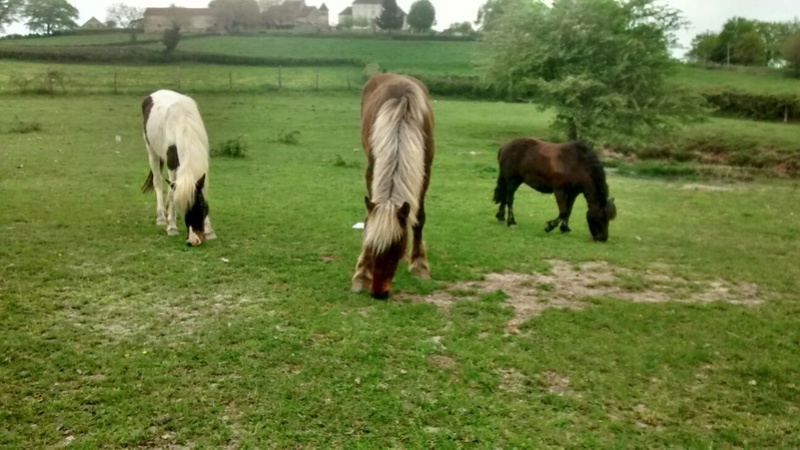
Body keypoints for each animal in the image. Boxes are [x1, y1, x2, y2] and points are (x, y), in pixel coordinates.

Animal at [140, 89, 216, 248]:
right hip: (152, 152)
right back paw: (161, 216)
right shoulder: (171, 165)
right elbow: (171, 192)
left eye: (201, 206)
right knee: (158, 182)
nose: (193, 240)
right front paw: (172, 227)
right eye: (183, 209)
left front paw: (209, 230)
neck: (184, 125)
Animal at [352, 73, 434, 298]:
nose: (378, 293)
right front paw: (362, 273)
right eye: (370, 245)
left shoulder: (425, 172)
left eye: (396, 247)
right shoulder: (371, 171)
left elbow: (419, 218)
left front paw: (419, 264)